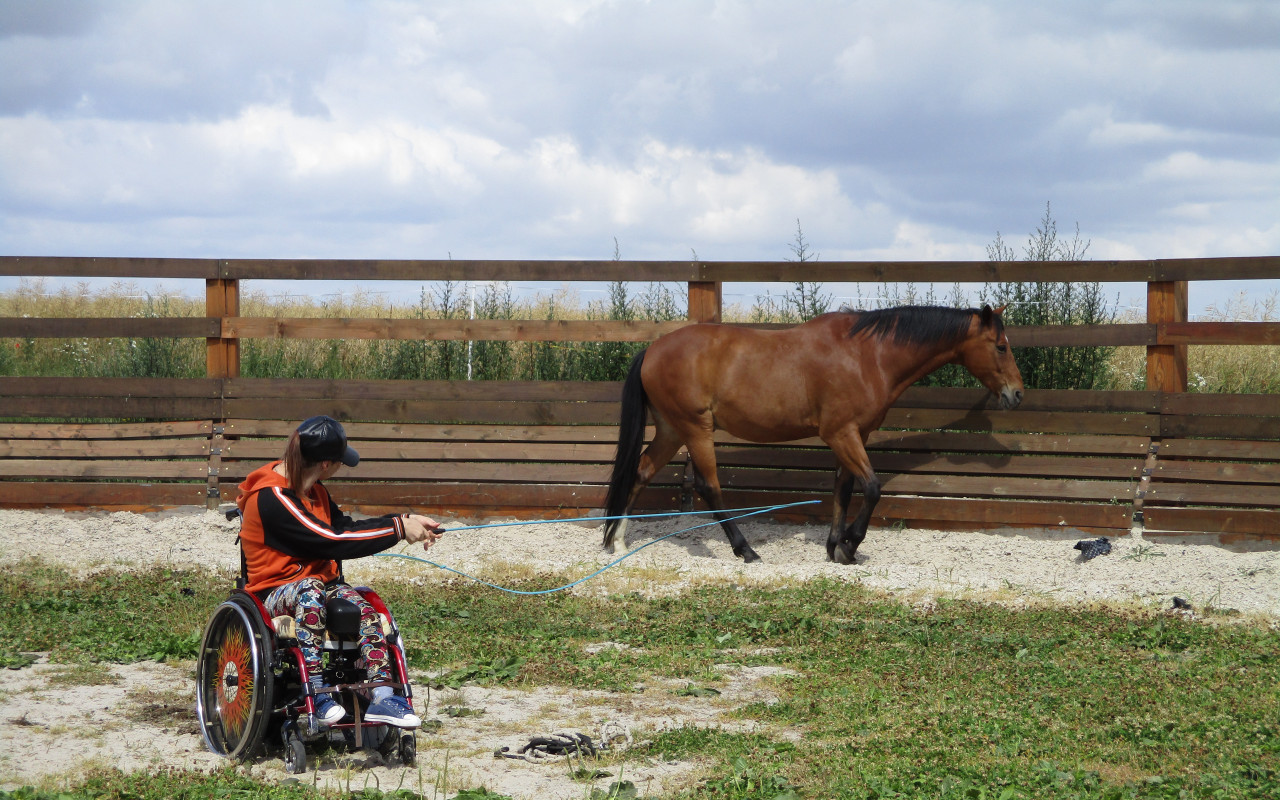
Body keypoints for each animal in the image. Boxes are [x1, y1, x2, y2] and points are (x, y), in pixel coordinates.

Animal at [596, 304, 1018, 560]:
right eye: (1000, 346)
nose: (1016, 393)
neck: (866, 355)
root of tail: (651, 350)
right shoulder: (840, 433)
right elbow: (872, 488)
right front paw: (850, 544)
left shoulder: (855, 435)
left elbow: (843, 489)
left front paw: (835, 547)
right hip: (695, 429)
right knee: (708, 486)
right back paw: (745, 550)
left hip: (671, 430)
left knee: (641, 471)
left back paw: (616, 539)